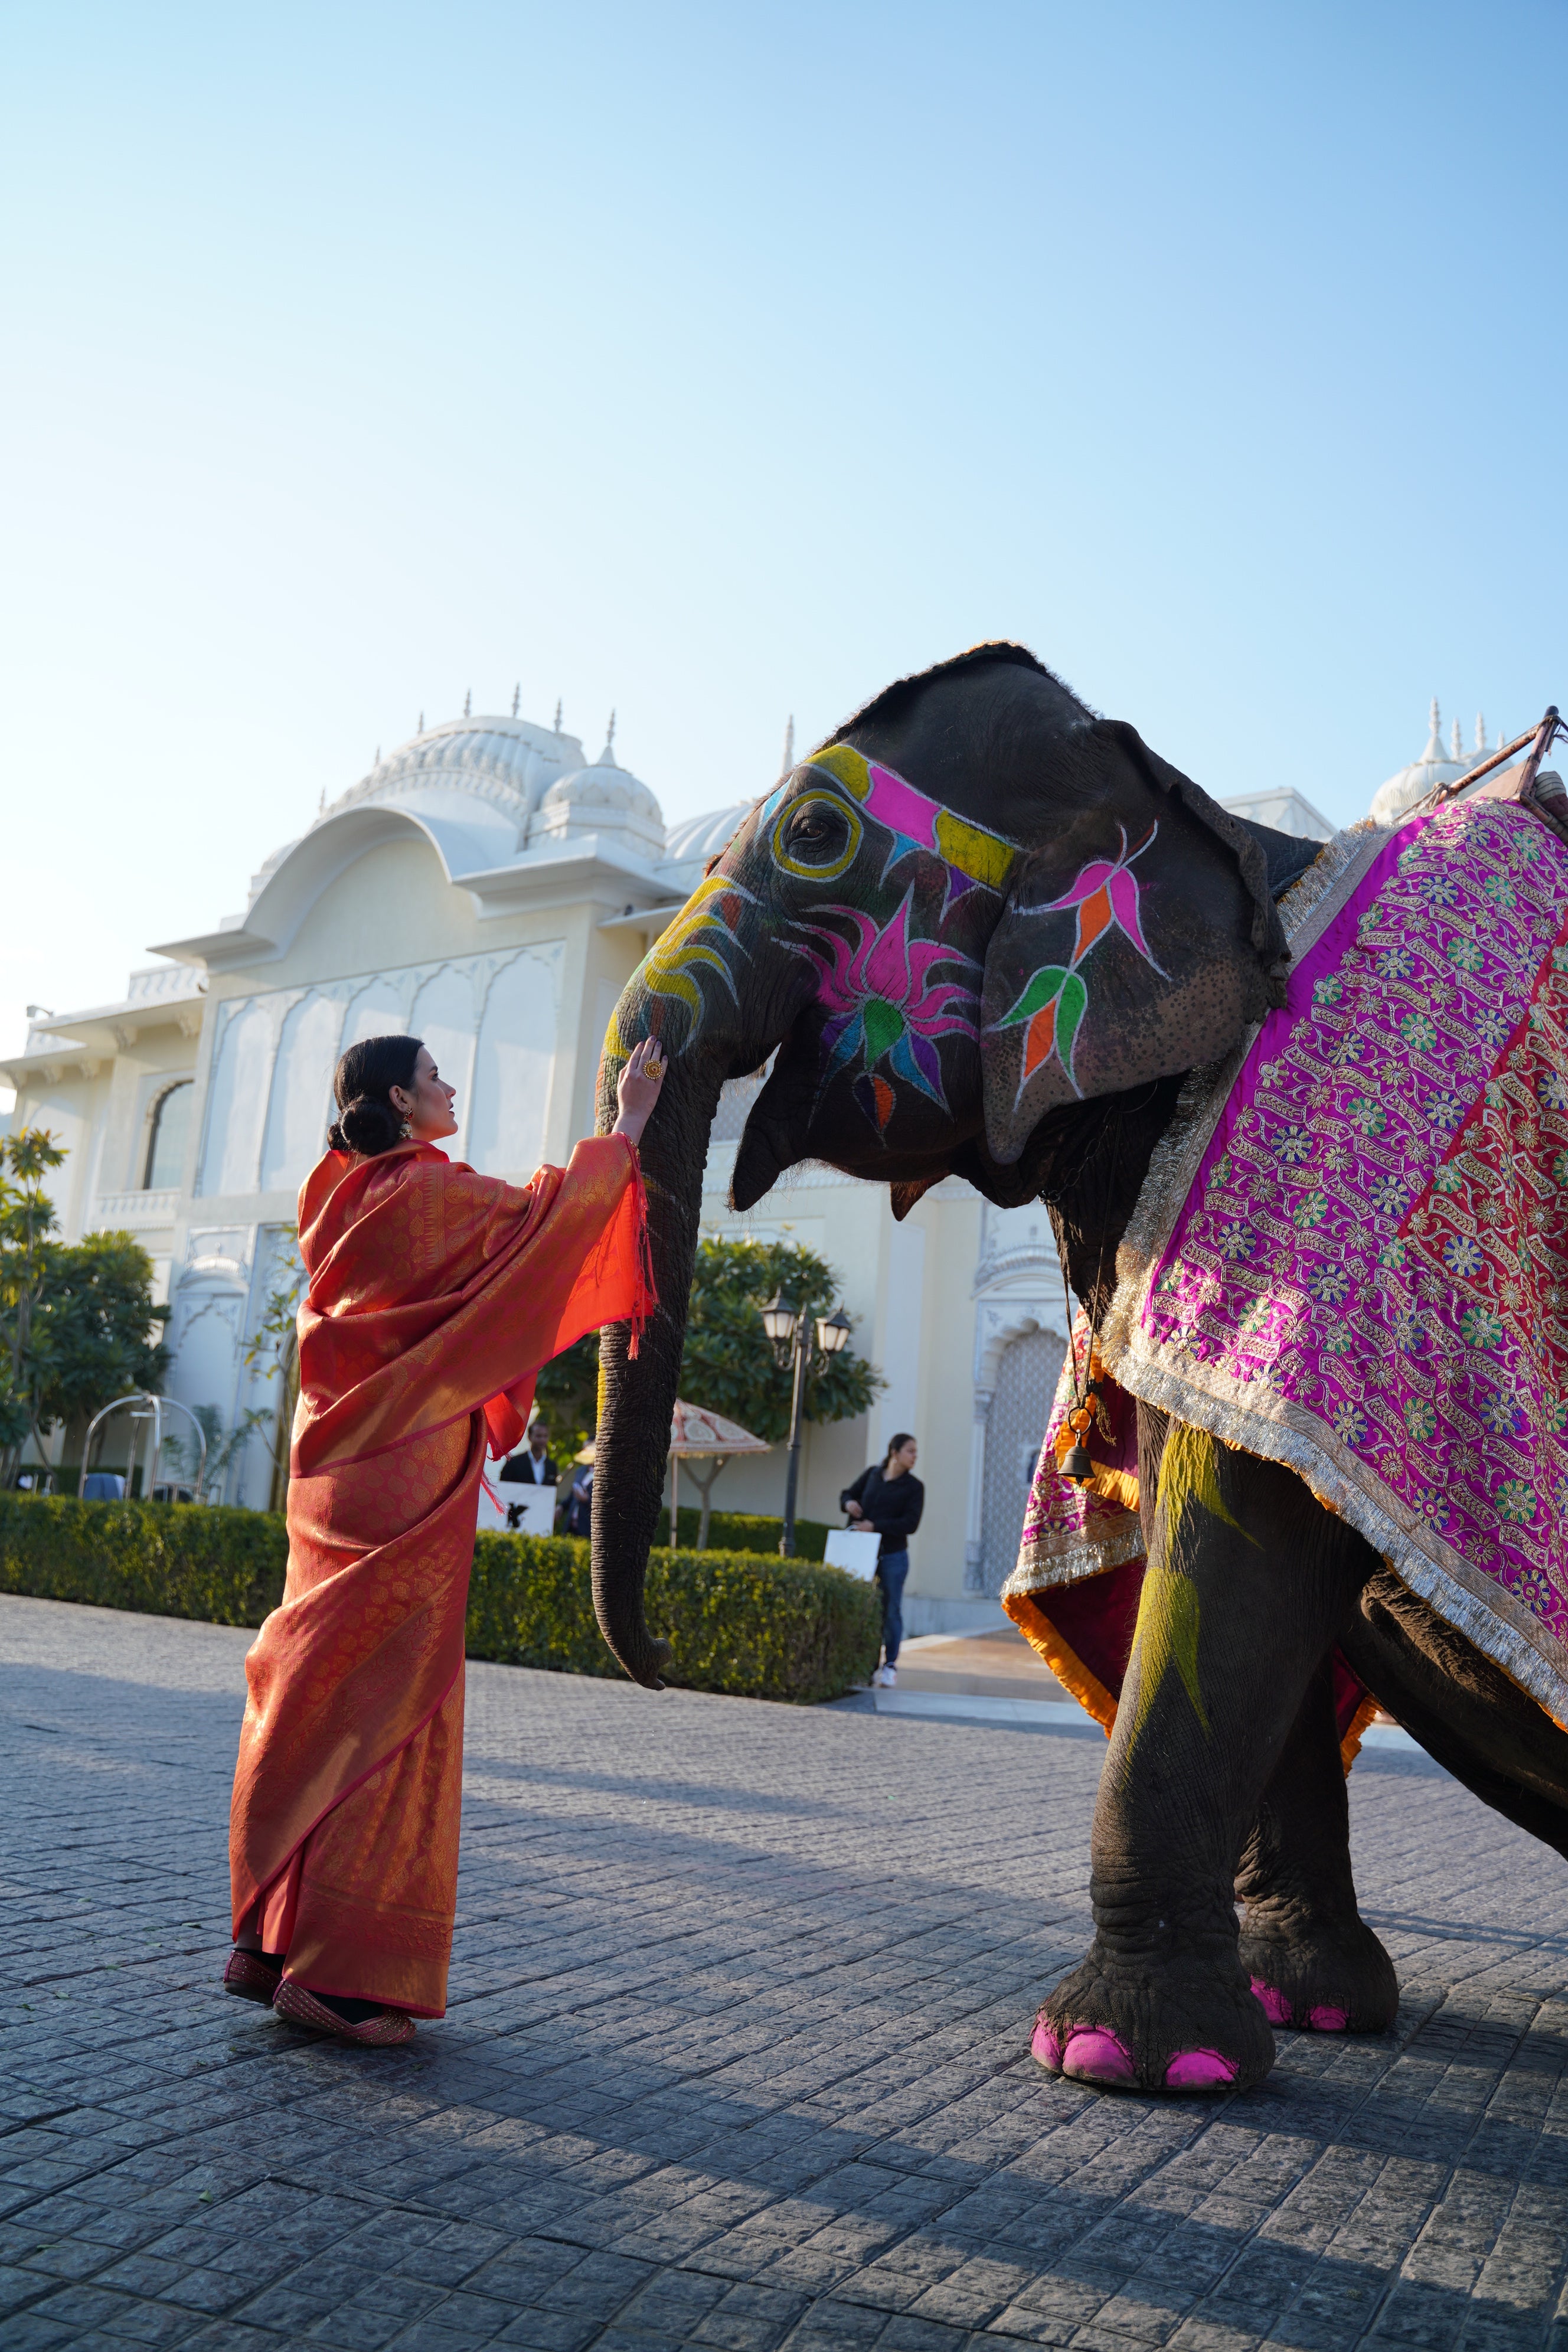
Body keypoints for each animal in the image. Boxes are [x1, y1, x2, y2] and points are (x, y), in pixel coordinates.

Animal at [587, 644, 1568, 2098]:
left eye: (815, 835)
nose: (661, 1664)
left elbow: (1242, 1528)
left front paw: (1124, 2057)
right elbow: (1218, 1531)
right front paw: (1304, 2005)